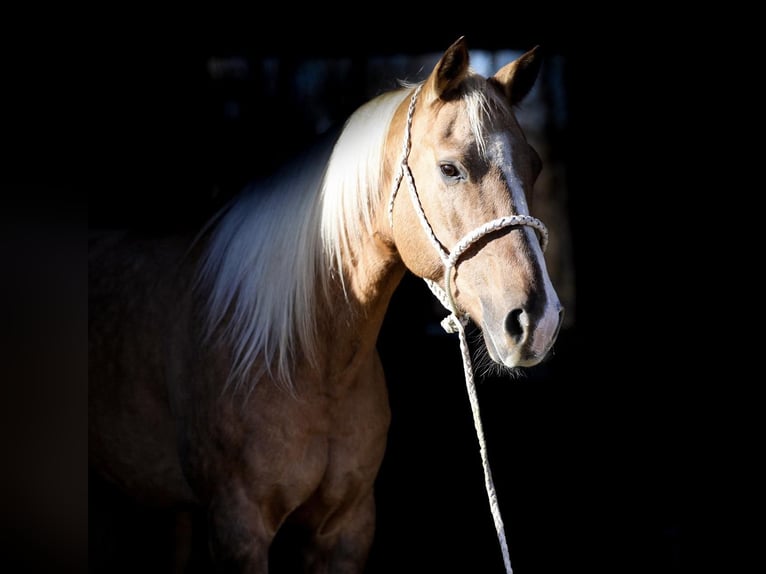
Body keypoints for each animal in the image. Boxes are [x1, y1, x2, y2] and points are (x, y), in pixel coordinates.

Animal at [90, 38, 568, 572]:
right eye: (450, 169)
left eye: (534, 166)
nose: (538, 319)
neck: (308, 362)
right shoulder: (239, 527)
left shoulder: (346, 529)